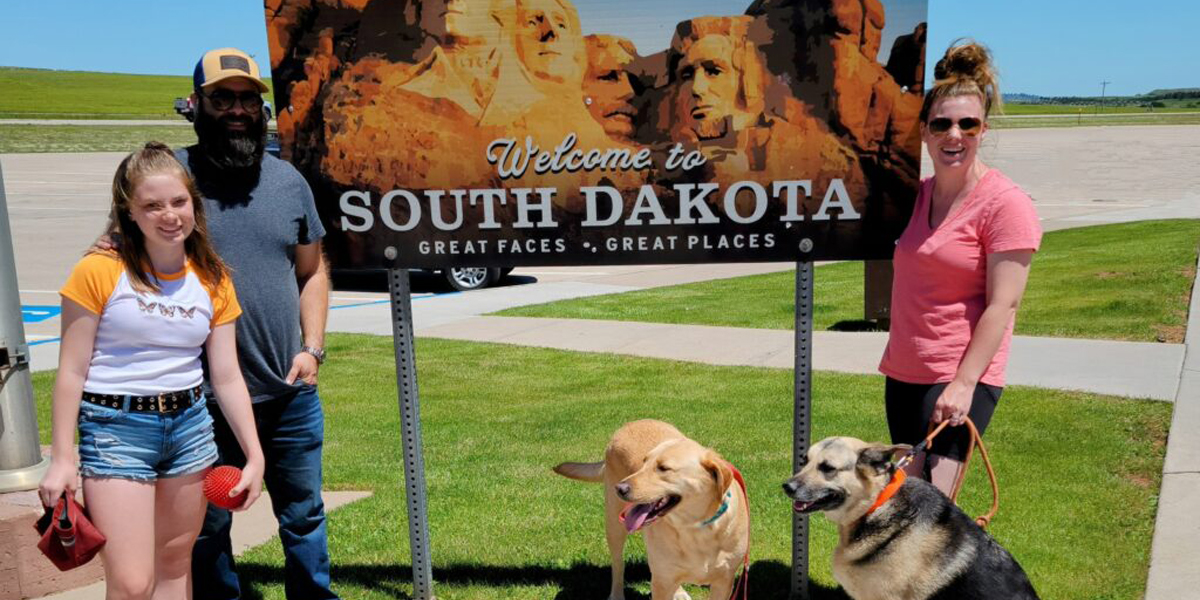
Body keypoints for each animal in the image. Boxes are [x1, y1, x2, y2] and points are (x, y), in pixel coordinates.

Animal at [554, 420, 744, 600]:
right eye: (643, 463)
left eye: (664, 468)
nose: (620, 488)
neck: (694, 529)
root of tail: (630, 424)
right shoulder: (662, 580)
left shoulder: (724, 581)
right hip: (614, 526)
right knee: (618, 565)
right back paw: (617, 594)